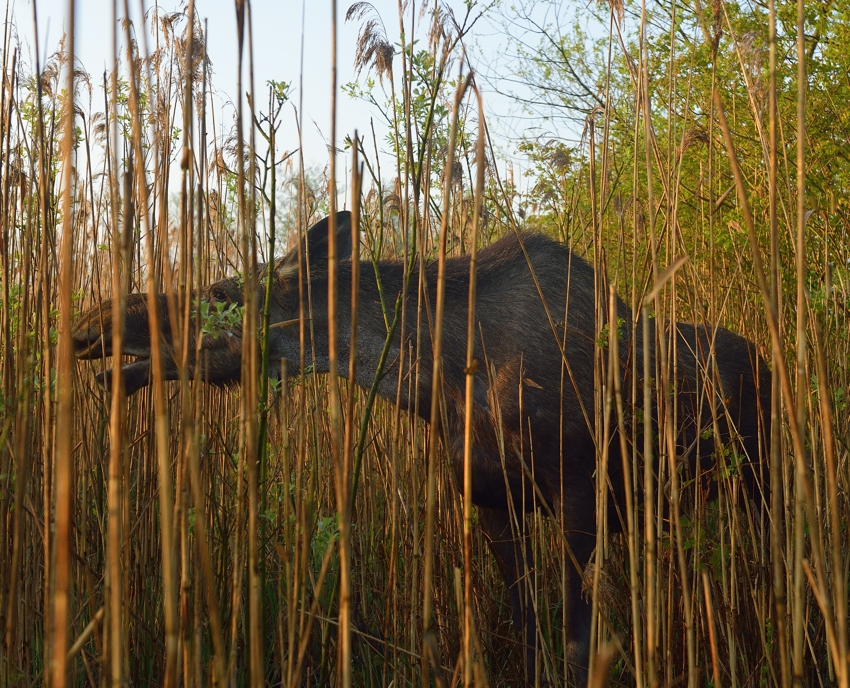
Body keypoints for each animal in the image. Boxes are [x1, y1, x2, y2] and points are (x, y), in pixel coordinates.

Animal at [74, 212, 768, 684]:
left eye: (218, 296)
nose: (92, 324)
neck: (445, 381)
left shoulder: (579, 498)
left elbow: (576, 644)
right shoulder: (490, 502)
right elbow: (527, 634)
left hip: (761, 484)